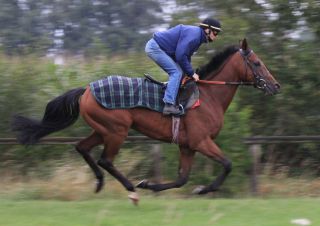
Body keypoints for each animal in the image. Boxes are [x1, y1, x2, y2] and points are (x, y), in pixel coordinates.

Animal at [11, 39, 278, 205]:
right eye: (257, 63)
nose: (275, 85)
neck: (208, 95)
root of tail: (86, 89)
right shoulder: (201, 141)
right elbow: (227, 164)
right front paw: (202, 189)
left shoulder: (187, 146)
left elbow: (182, 179)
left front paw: (152, 185)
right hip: (117, 130)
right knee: (105, 159)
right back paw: (130, 189)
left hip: (103, 129)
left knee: (82, 147)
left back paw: (99, 183)